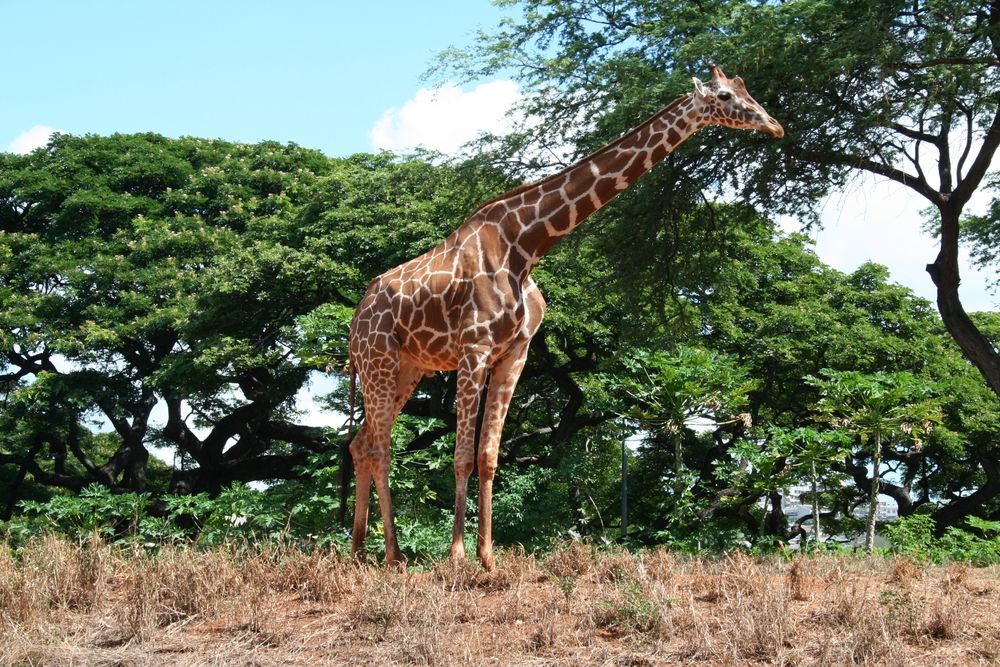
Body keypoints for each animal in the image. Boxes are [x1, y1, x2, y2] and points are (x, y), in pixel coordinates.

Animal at [346, 66, 783, 570]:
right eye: (727, 96)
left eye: (747, 91)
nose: (774, 125)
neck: (526, 246)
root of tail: (355, 320)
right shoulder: (474, 349)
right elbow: (461, 456)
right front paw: (457, 558)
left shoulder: (514, 353)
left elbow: (489, 455)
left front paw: (488, 558)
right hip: (379, 361)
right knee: (379, 447)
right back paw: (391, 556)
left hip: (409, 368)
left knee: (360, 442)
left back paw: (357, 550)